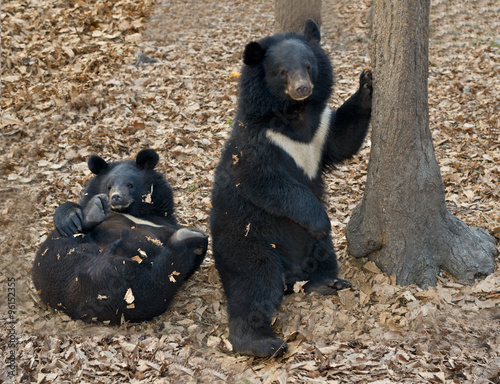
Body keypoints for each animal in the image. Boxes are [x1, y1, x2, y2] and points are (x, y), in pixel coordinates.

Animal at [31, 149, 208, 324]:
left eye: (130, 185)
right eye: (109, 186)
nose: (116, 197)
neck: (132, 211)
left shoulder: (164, 222)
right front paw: (71, 218)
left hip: (135, 293)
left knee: (162, 277)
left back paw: (189, 236)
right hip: (54, 255)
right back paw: (93, 211)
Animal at [209, 20, 374, 356]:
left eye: (308, 66)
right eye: (282, 71)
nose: (302, 88)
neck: (295, 115)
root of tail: (290, 274)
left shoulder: (320, 129)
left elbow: (343, 137)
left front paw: (366, 82)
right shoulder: (258, 143)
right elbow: (267, 183)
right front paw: (321, 220)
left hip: (313, 249)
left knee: (322, 256)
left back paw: (327, 282)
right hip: (247, 241)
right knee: (254, 285)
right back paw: (262, 342)